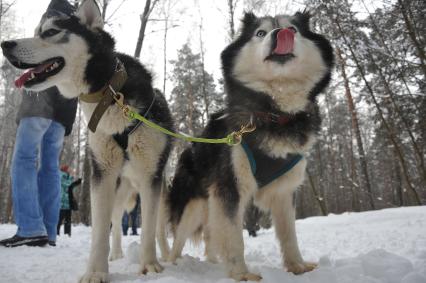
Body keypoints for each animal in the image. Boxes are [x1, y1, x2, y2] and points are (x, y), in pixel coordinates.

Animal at [1, 1, 172, 282]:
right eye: (36, 32)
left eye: (50, 32)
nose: (5, 44)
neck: (112, 95)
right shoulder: (102, 171)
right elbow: (101, 229)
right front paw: (96, 271)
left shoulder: (151, 175)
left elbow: (147, 228)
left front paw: (149, 266)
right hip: (119, 187)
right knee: (116, 220)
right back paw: (117, 254)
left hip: (155, 185)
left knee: (157, 225)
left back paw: (167, 255)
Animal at [159, 11, 332, 282]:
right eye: (260, 33)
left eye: (293, 28)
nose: (282, 33)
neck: (274, 115)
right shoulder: (229, 187)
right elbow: (234, 237)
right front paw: (241, 274)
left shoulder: (284, 192)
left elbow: (289, 235)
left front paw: (297, 266)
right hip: (194, 206)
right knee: (179, 239)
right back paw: (176, 265)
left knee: (211, 235)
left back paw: (212, 262)